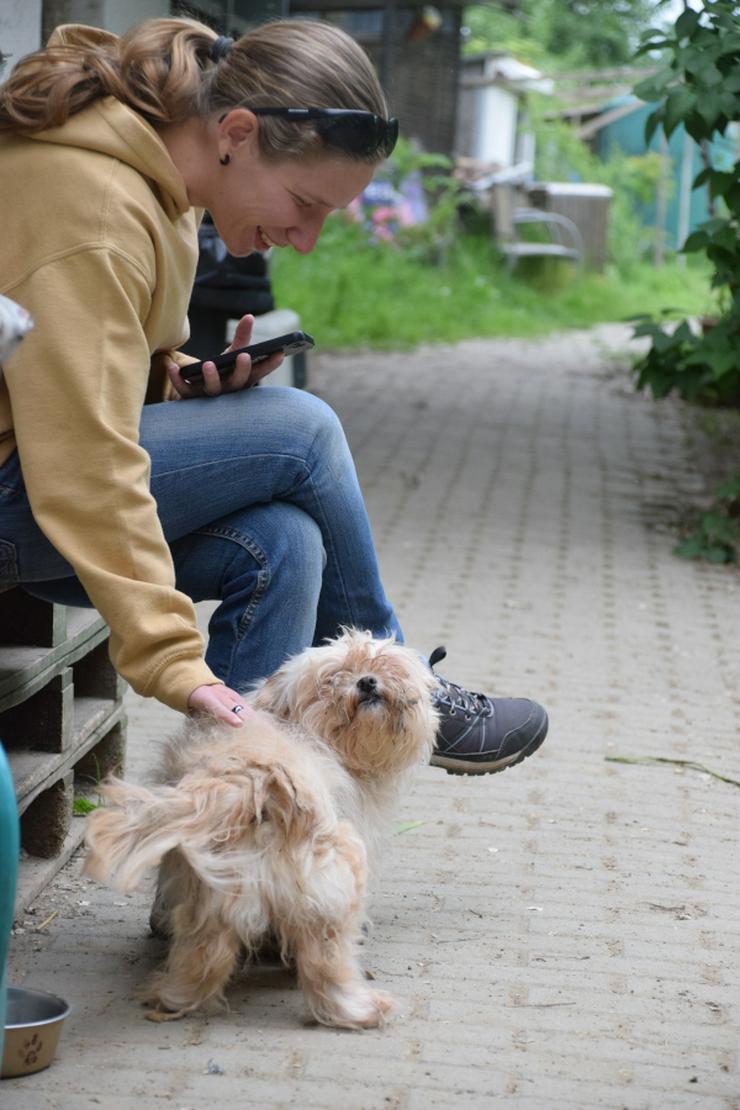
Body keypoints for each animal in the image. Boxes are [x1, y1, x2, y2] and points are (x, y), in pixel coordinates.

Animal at [83, 630, 437, 1025]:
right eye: (333, 678)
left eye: (380, 665)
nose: (367, 682)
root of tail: (260, 780)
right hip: (331, 887)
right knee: (327, 964)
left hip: (217, 901)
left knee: (207, 959)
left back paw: (171, 999)